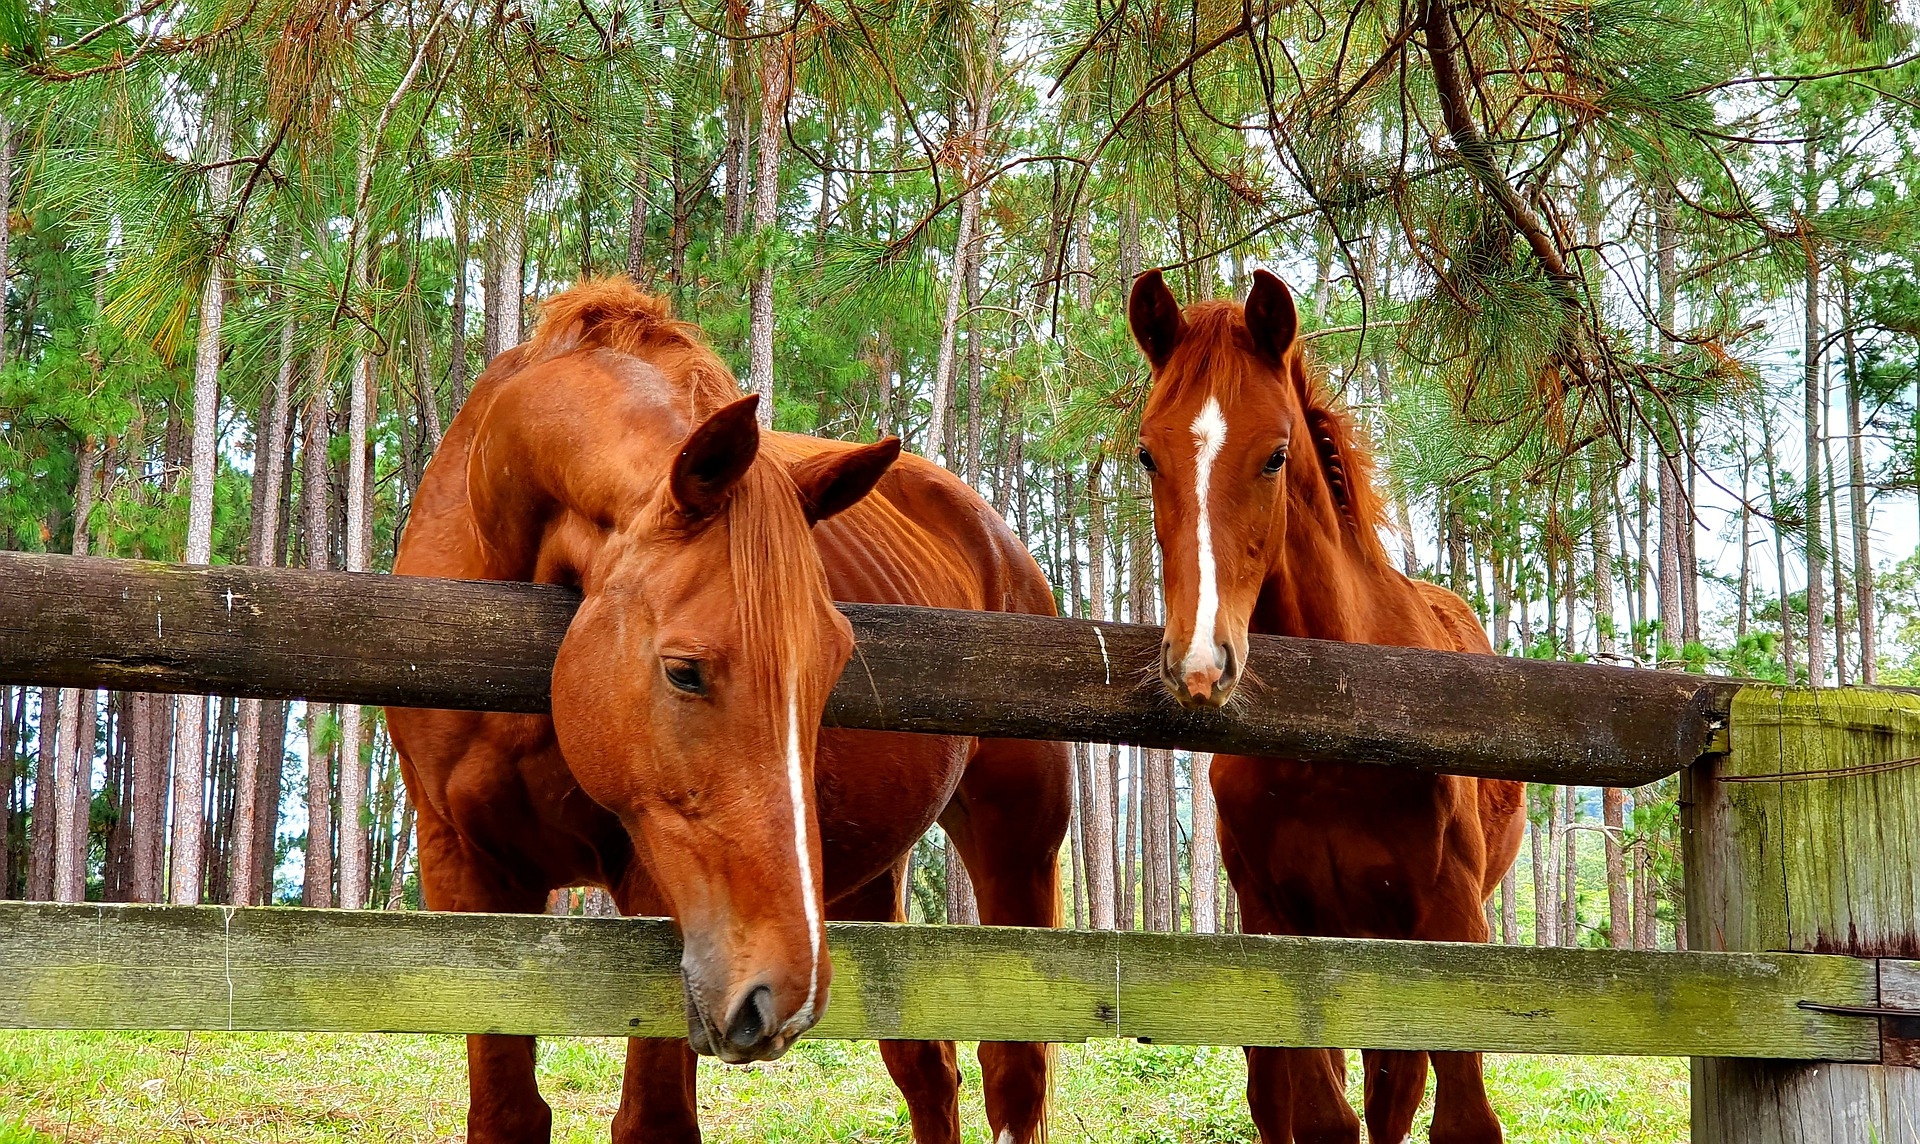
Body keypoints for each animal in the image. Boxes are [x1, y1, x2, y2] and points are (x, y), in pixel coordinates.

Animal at [389, 280, 1075, 1144]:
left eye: (832, 670)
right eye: (684, 672)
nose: (781, 997)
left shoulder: (652, 879)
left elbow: (652, 1120)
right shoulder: (463, 870)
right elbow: (507, 1112)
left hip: (1017, 849)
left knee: (1014, 1073)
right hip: (867, 882)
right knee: (929, 1072)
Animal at [1128, 270, 1520, 1144]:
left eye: (1276, 454)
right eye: (1146, 453)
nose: (1200, 663)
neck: (1337, 722)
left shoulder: (1450, 926)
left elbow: (1459, 1119)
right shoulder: (1281, 928)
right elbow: (1319, 1115)